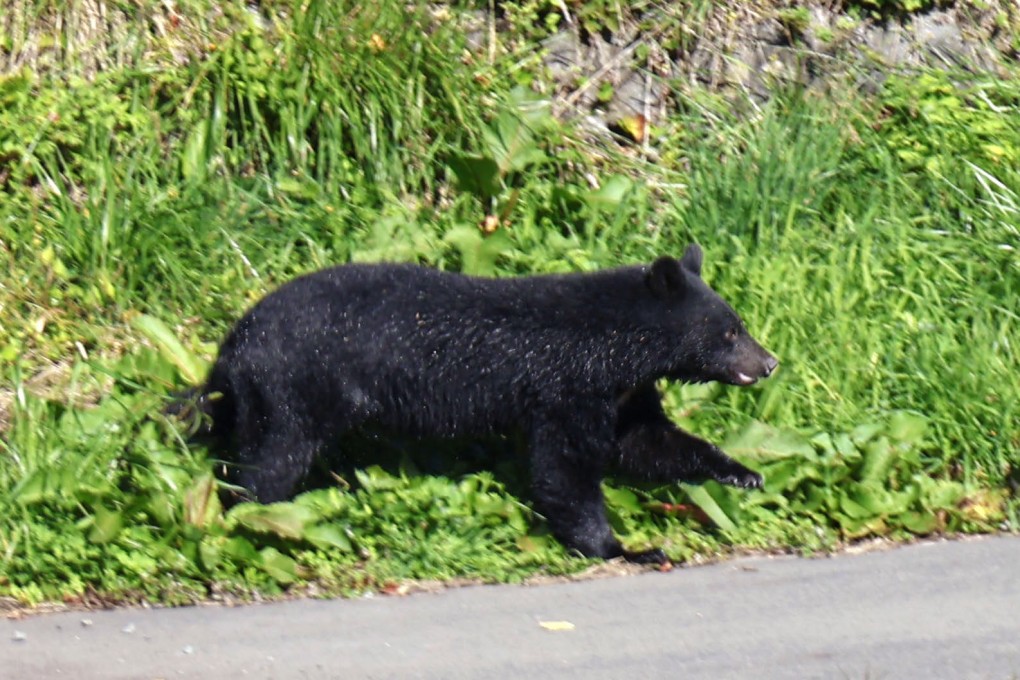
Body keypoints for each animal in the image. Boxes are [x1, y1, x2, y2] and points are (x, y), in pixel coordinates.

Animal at [187, 244, 777, 564]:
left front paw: (741, 472)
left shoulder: (623, 394)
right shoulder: (566, 388)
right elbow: (564, 470)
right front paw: (622, 548)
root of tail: (231, 346)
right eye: (729, 332)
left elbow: (647, 441)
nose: (769, 361)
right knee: (270, 462)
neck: (615, 346)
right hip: (292, 388)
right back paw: (249, 521)